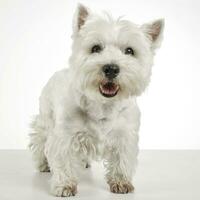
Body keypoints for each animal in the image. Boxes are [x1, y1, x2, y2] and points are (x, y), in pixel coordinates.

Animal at [29, 3, 164, 197]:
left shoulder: (125, 135)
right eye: (95, 48)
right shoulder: (65, 135)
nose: (111, 68)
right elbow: (63, 159)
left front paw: (121, 182)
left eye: (130, 51)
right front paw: (64, 185)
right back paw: (44, 164)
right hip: (45, 118)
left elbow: (122, 159)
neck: (103, 105)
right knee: (40, 141)